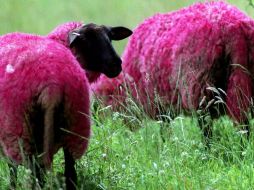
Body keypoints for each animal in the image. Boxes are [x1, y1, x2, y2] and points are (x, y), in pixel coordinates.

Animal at [0, 22, 132, 189]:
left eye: (110, 37)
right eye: (86, 41)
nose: (116, 64)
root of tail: (52, 86)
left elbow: (12, 168)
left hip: (23, 132)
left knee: (35, 172)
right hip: (73, 126)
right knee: (69, 172)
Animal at [92, 1, 254, 141]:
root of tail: (235, 25)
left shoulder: (160, 105)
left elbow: (165, 134)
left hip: (200, 90)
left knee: (211, 132)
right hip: (241, 83)